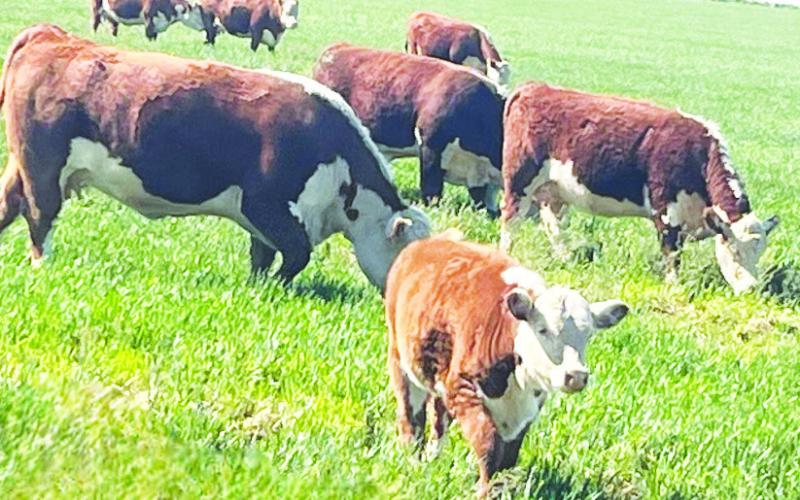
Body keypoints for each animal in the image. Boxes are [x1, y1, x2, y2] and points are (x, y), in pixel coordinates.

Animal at [0, 25, 429, 290]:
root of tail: (49, 35)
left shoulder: (262, 217)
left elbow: (262, 254)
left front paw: (258, 285)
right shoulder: (266, 203)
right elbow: (297, 253)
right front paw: (276, 287)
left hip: (22, 163)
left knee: (9, 201)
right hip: (43, 168)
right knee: (39, 215)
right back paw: (45, 265)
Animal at [385, 232, 629, 496]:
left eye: (588, 334)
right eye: (542, 329)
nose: (575, 375)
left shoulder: (527, 411)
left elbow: (508, 458)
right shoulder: (463, 389)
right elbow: (489, 447)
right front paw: (484, 492)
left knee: (439, 417)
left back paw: (432, 458)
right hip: (401, 362)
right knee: (411, 419)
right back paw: (412, 463)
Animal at [500, 83, 779, 294]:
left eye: (760, 252)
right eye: (735, 251)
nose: (751, 289)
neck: (698, 156)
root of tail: (533, 87)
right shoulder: (666, 212)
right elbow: (671, 253)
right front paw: (674, 287)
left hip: (554, 192)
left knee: (554, 226)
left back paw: (565, 259)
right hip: (519, 181)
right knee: (511, 220)